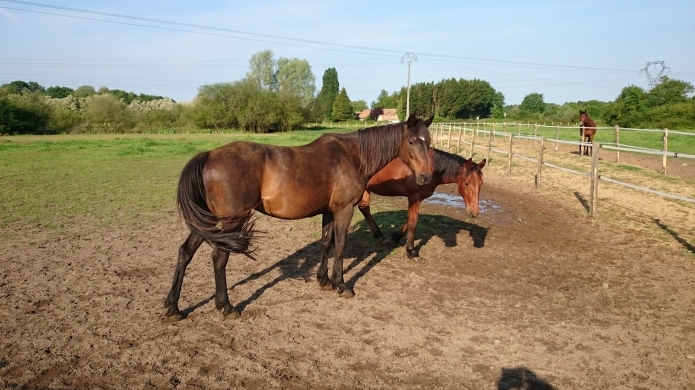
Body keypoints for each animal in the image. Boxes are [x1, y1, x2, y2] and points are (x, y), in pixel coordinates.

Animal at [165, 113, 432, 320]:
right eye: (411, 141)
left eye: (428, 142)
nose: (426, 177)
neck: (352, 155)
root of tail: (209, 154)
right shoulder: (344, 209)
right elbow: (341, 246)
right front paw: (341, 284)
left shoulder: (329, 211)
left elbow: (326, 243)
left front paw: (324, 280)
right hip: (233, 221)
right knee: (219, 257)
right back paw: (227, 306)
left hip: (208, 222)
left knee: (185, 252)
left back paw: (173, 307)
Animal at [356, 148, 486, 260]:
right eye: (466, 183)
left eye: (481, 183)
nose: (474, 212)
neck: (428, 166)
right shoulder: (414, 197)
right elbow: (413, 223)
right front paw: (411, 251)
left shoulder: (417, 198)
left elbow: (409, 220)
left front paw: (395, 237)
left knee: (364, 208)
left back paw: (380, 236)